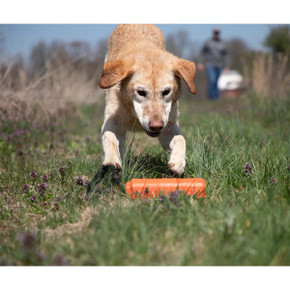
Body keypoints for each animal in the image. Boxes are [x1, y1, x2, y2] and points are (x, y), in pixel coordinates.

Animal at [86, 24, 195, 193]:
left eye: (166, 91)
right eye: (141, 92)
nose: (156, 126)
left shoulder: (168, 126)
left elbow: (180, 138)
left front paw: (178, 162)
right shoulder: (111, 122)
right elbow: (110, 138)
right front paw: (112, 161)